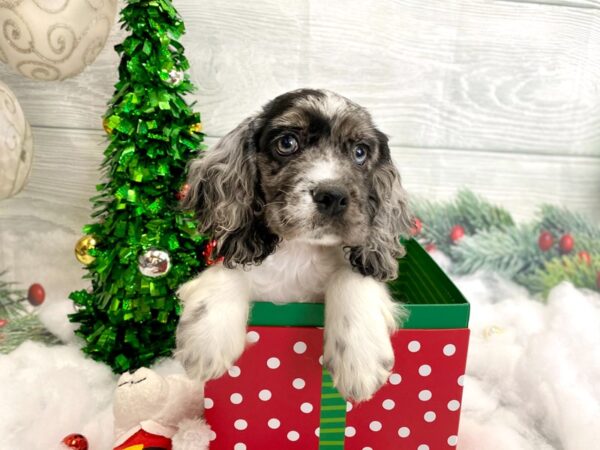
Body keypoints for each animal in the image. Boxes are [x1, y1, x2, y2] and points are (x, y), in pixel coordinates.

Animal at [176, 88, 414, 400]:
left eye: (360, 152)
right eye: (287, 143)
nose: (333, 196)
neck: (299, 251)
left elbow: (350, 276)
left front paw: (360, 362)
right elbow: (228, 271)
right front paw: (205, 344)